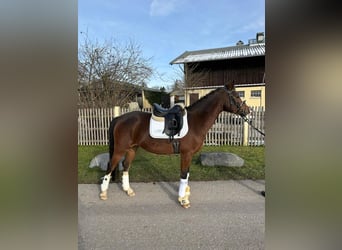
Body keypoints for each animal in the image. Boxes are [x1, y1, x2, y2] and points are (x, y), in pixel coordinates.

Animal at [100, 82, 250, 207]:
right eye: (237, 96)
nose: (248, 110)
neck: (196, 121)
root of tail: (119, 118)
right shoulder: (186, 154)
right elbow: (183, 175)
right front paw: (183, 200)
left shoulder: (188, 155)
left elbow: (186, 175)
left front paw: (184, 197)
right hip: (120, 149)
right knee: (110, 166)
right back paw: (103, 193)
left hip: (132, 149)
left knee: (125, 166)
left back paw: (128, 190)